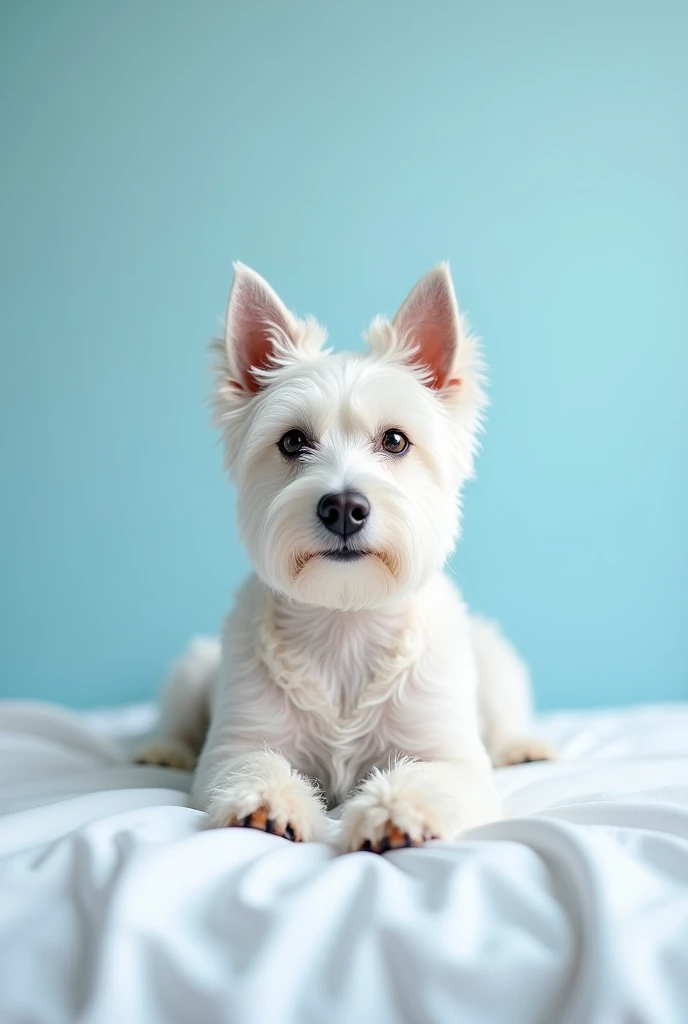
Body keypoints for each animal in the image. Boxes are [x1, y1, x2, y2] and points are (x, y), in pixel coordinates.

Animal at [137, 260, 556, 851]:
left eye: (396, 440)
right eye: (292, 442)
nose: (342, 507)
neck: (345, 622)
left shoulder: (449, 754)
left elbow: (431, 775)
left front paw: (397, 810)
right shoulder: (240, 741)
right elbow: (253, 764)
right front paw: (266, 802)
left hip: (493, 658)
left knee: (507, 714)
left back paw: (524, 746)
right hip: (194, 664)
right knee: (176, 717)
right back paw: (161, 749)